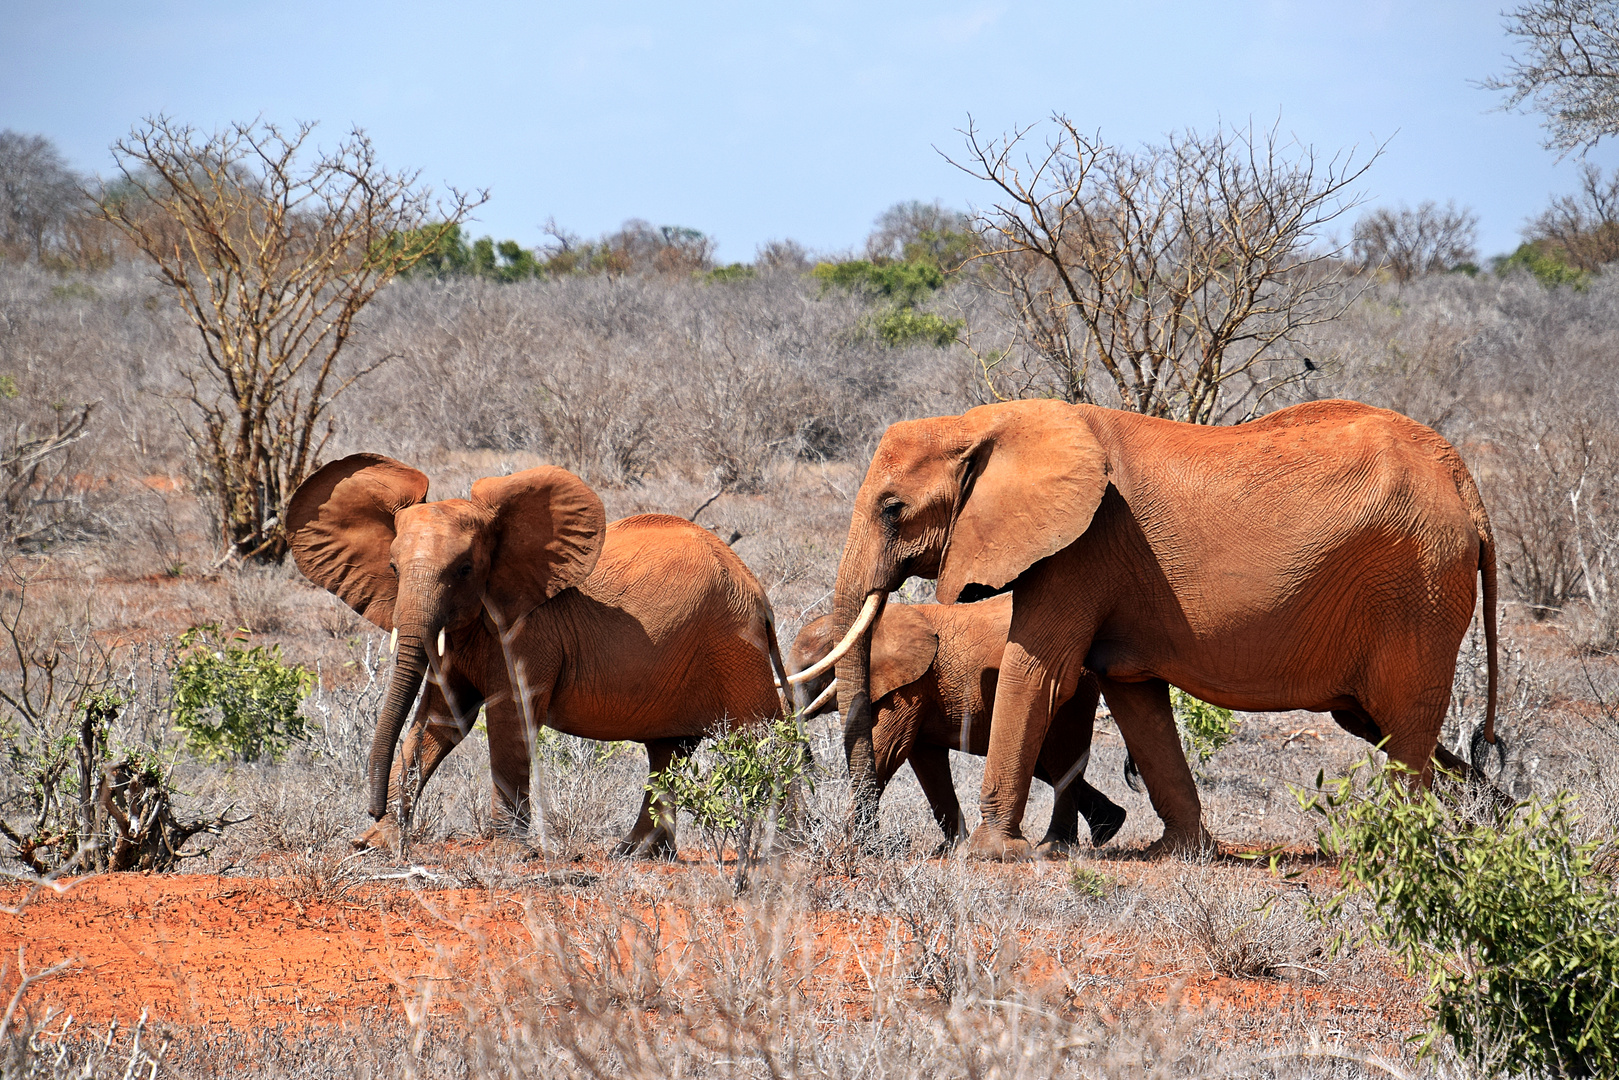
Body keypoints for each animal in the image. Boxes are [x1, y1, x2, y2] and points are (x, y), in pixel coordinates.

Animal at [294, 453, 799, 854]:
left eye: (464, 569)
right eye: (394, 568)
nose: (375, 809)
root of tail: (758, 592)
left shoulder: (528, 631)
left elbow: (509, 718)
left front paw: (506, 851)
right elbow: (443, 719)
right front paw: (373, 845)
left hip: (734, 645)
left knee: (765, 740)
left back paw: (786, 853)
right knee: (667, 752)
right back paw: (636, 855)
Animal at [786, 592, 1120, 854]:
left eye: (814, 670)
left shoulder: (912, 686)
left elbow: (889, 750)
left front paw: (853, 846)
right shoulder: (921, 690)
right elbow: (925, 761)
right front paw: (953, 849)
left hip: (1073, 691)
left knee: (1061, 757)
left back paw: (1060, 847)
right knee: (1044, 762)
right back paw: (1109, 827)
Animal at [828, 396, 1495, 861]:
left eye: (892, 509)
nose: (866, 844)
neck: (987, 422)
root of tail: (1466, 485)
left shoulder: (1081, 550)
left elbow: (1038, 671)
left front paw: (993, 855)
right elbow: (1133, 696)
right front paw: (1177, 855)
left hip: (1419, 586)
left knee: (1404, 726)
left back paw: (1403, 856)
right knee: (1380, 725)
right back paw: (1489, 814)